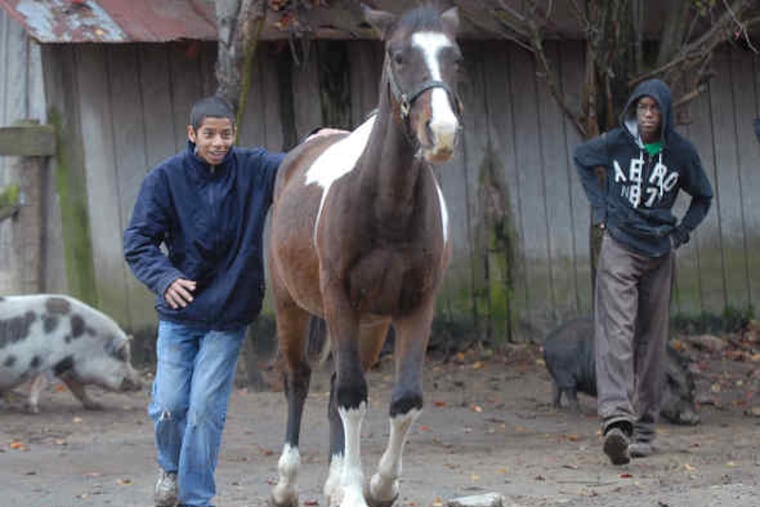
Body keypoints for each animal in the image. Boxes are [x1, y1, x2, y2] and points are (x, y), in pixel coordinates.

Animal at [0, 294, 142, 413]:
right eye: (123, 356)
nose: (140, 384)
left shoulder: (68, 369)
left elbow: (78, 389)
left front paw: (97, 405)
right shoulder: (52, 362)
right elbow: (40, 382)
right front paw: (32, 409)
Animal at [267, 5, 462, 507]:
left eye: (454, 57)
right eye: (398, 55)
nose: (442, 132)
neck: (386, 205)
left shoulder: (415, 306)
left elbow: (403, 401)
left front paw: (379, 485)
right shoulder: (338, 300)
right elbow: (352, 397)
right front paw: (356, 490)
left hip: (370, 325)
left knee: (336, 383)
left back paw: (335, 482)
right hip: (292, 307)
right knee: (298, 379)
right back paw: (287, 483)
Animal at [542, 317, 700, 425]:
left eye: (692, 390)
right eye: (681, 394)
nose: (695, 420)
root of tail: (547, 341)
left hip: (558, 374)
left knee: (555, 386)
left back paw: (557, 406)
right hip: (564, 372)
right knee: (570, 391)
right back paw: (579, 412)